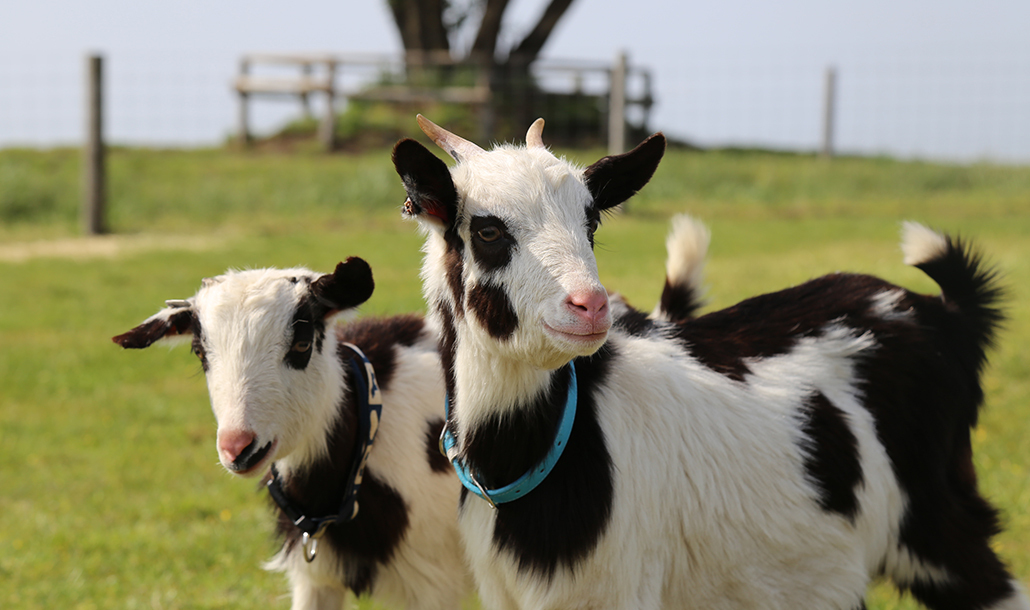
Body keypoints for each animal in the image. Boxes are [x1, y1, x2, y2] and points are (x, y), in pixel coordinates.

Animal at [389, 115, 1025, 610]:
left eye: (591, 222)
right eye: (487, 230)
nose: (590, 305)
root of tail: (944, 314)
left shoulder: (614, 586)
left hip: (937, 521)